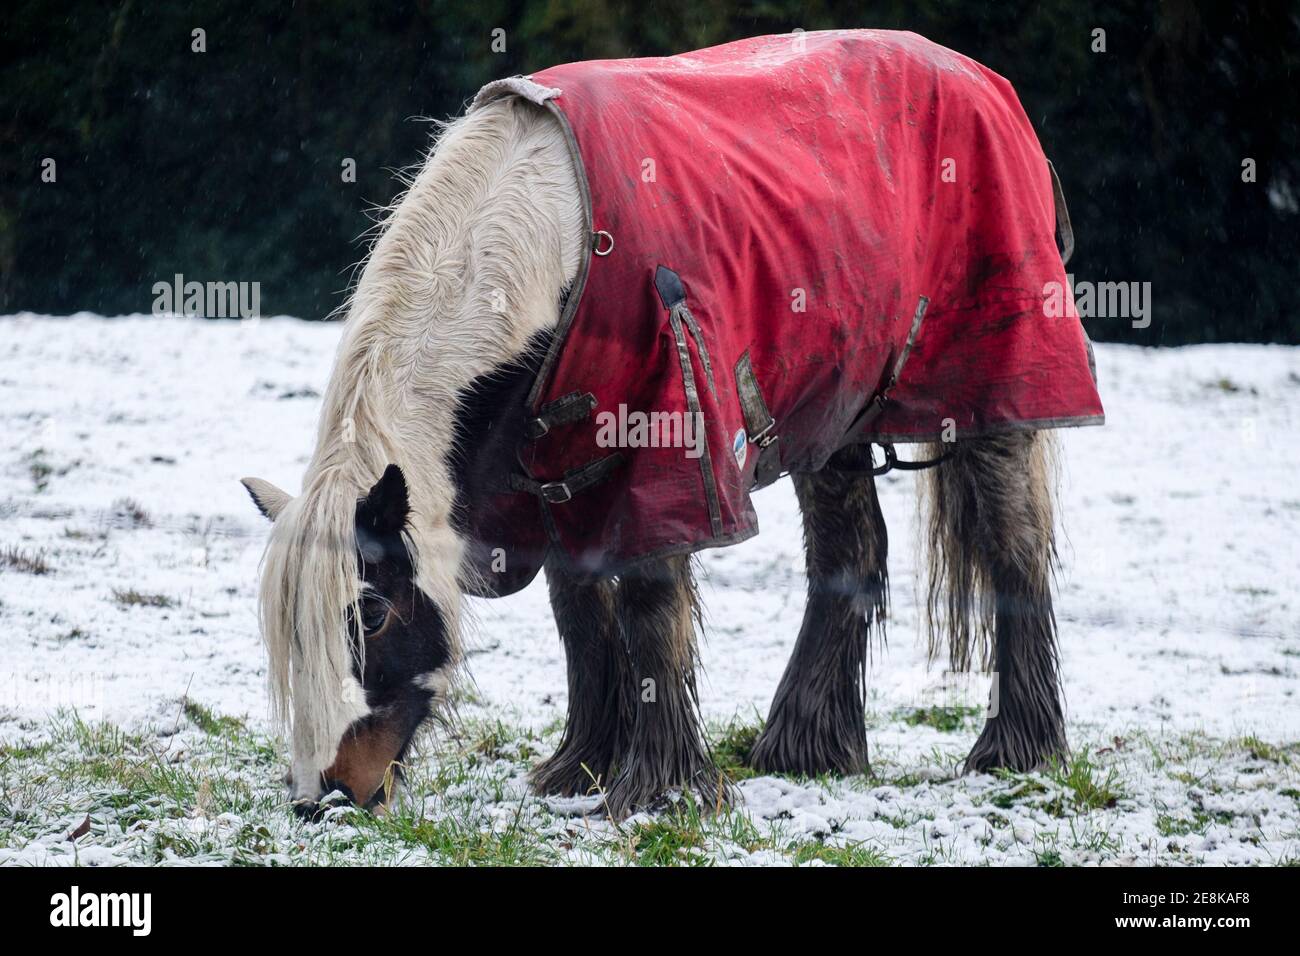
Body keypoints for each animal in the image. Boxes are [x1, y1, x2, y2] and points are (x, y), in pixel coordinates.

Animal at [241, 33, 1097, 816]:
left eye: (370, 612)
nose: (327, 797)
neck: (555, 248)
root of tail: (985, 81)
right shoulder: (557, 481)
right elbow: (582, 617)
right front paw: (581, 770)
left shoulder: (667, 460)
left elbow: (651, 607)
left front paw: (662, 790)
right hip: (832, 417)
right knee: (848, 552)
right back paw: (807, 748)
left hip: (995, 404)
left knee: (1014, 547)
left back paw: (1015, 750)